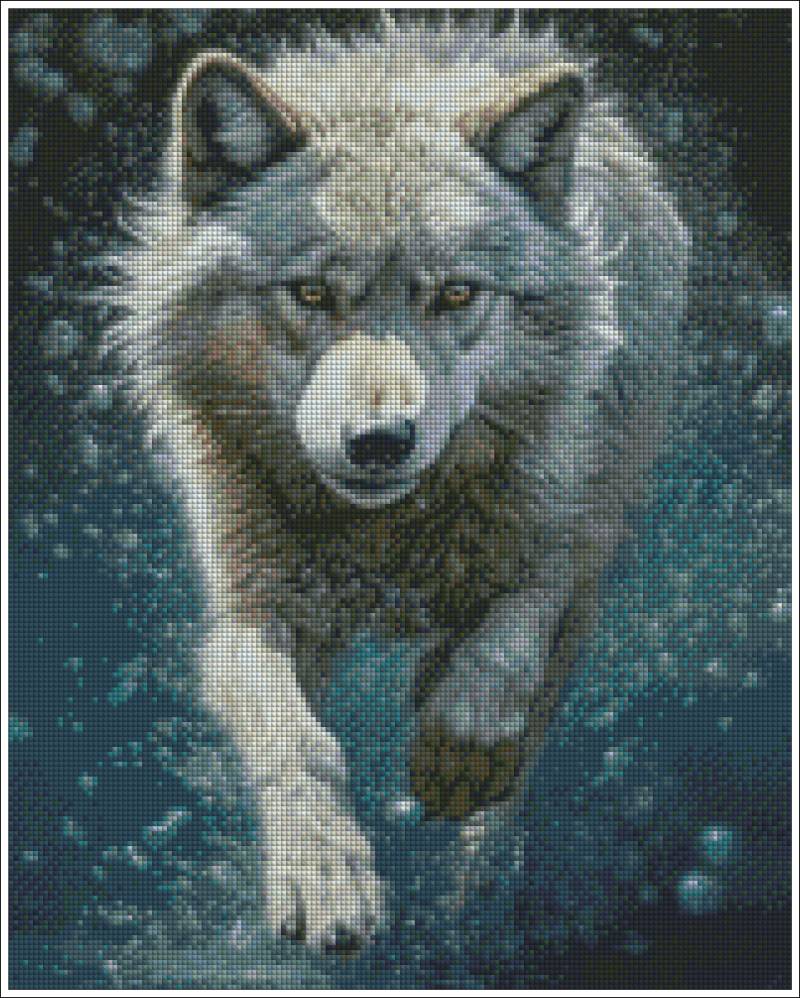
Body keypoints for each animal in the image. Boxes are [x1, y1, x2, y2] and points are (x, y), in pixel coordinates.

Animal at [105, 15, 689, 951]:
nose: (380, 442)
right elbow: (295, 739)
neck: (384, 538)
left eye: (454, 295)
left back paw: (474, 877)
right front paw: (326, 879)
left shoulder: (563, 534)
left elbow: (511, 639)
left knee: (529, 740)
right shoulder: (249, 609)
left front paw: (456, 750)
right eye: (311, 293)